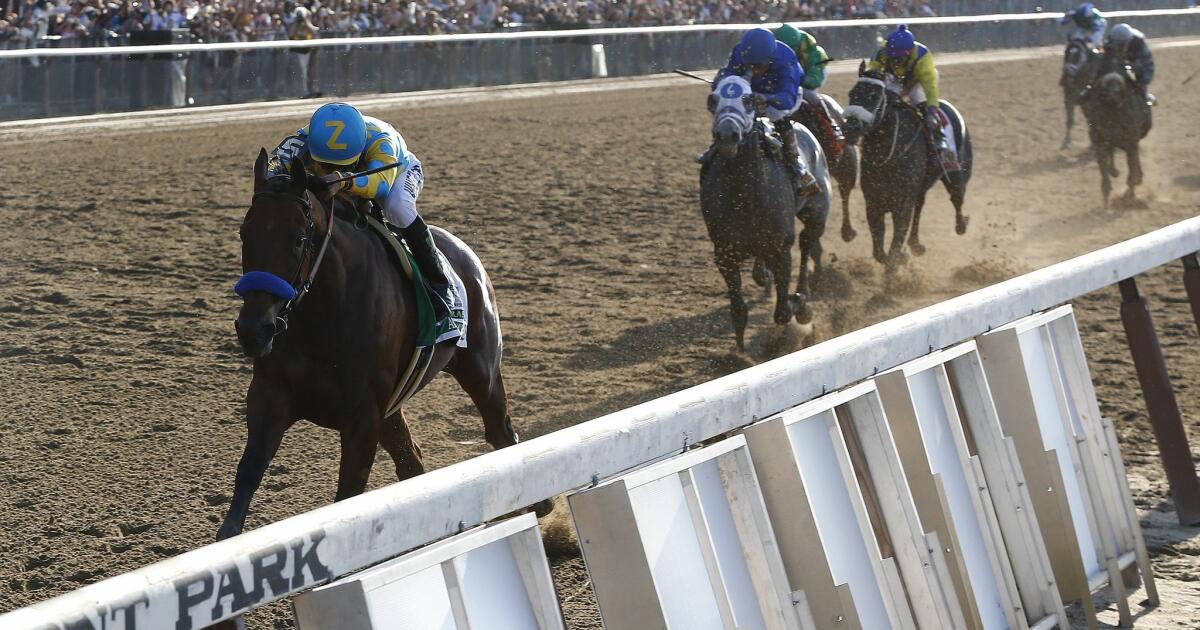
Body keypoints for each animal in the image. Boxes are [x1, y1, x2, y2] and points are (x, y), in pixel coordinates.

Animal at [219, 151, 540, 540]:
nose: (254, 330)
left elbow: (348, 494)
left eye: (298, 239)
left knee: (500, 432)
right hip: (393, 406)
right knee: (412, 462)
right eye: (244, 234)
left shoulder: (363, 417)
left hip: (480, 372)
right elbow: (248, 474)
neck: (323, 317)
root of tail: (466, 253)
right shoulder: (270, 395)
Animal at [700, 75, 830, 350]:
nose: (727, 135)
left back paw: (803, 300)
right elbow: (738, 311)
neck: (744, 194)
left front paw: (798, 303)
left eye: (748, 100)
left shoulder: (780, 249)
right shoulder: (724, 253)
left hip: (816, 214)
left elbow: (782, 311)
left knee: (806, 245)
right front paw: (739, 354)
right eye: (713, 99)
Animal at [840, 65, 969, 270]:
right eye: (852, 93)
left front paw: (897, 262)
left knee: (956, 197)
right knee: (920, 206)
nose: (850, 128)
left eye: (875, 96)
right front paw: (901, 256)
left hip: (955, 170)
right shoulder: (873, 204)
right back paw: (915, 244)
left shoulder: (902, 205)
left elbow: (893, 248)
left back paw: (961, 224)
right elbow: (879, 252)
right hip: (922, 186)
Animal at [1080, 51, 1152, 206]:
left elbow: (1131, 169)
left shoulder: (1130, 141)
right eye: (1104, 88)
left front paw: (1129, 194)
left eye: (1120, 88)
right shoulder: (1100, 140)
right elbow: (1105, 173)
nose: (1113, 94)